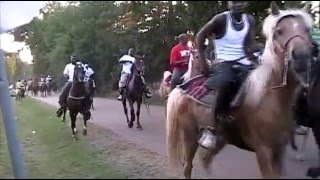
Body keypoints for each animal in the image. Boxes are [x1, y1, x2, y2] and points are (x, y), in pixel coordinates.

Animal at [166, 2, 314, 179]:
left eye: (307, 30)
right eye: (279, 31)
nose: (301, 57)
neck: (271, 97)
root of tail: (183, 87)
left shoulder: (279, 151)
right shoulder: (263, 151)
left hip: (219, 139)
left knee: (205, 160)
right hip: (190, 135)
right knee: (188, 166)